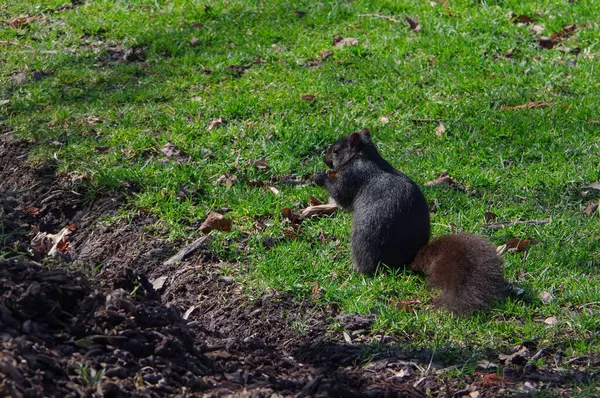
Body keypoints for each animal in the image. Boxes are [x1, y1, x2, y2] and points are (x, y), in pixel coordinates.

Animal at [314, 127, 506, 314]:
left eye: (336, 151)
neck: (364, 156)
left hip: (363, 239)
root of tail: (405, 261)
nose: (324, 159)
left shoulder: (353, 176)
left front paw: (320, 176)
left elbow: (340, 194)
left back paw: (356, 270)